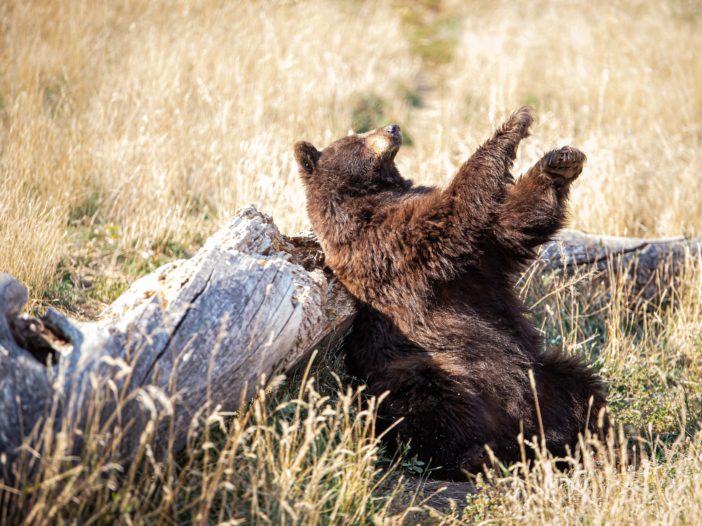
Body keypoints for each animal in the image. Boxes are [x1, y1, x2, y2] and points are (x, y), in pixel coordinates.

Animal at [294, 108, 608, 482]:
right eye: (357, 136)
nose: (393, 128)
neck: (369, 195)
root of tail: (514, 425)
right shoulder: (383, 242)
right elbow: (454, 211)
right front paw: (514, 124)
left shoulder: (479, 257)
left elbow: (513, 223)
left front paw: (560, 162)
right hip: (425, 365)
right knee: (429, 403)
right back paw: (474, 457)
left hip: (540, 376)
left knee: (577, 384)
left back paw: (590, 441)